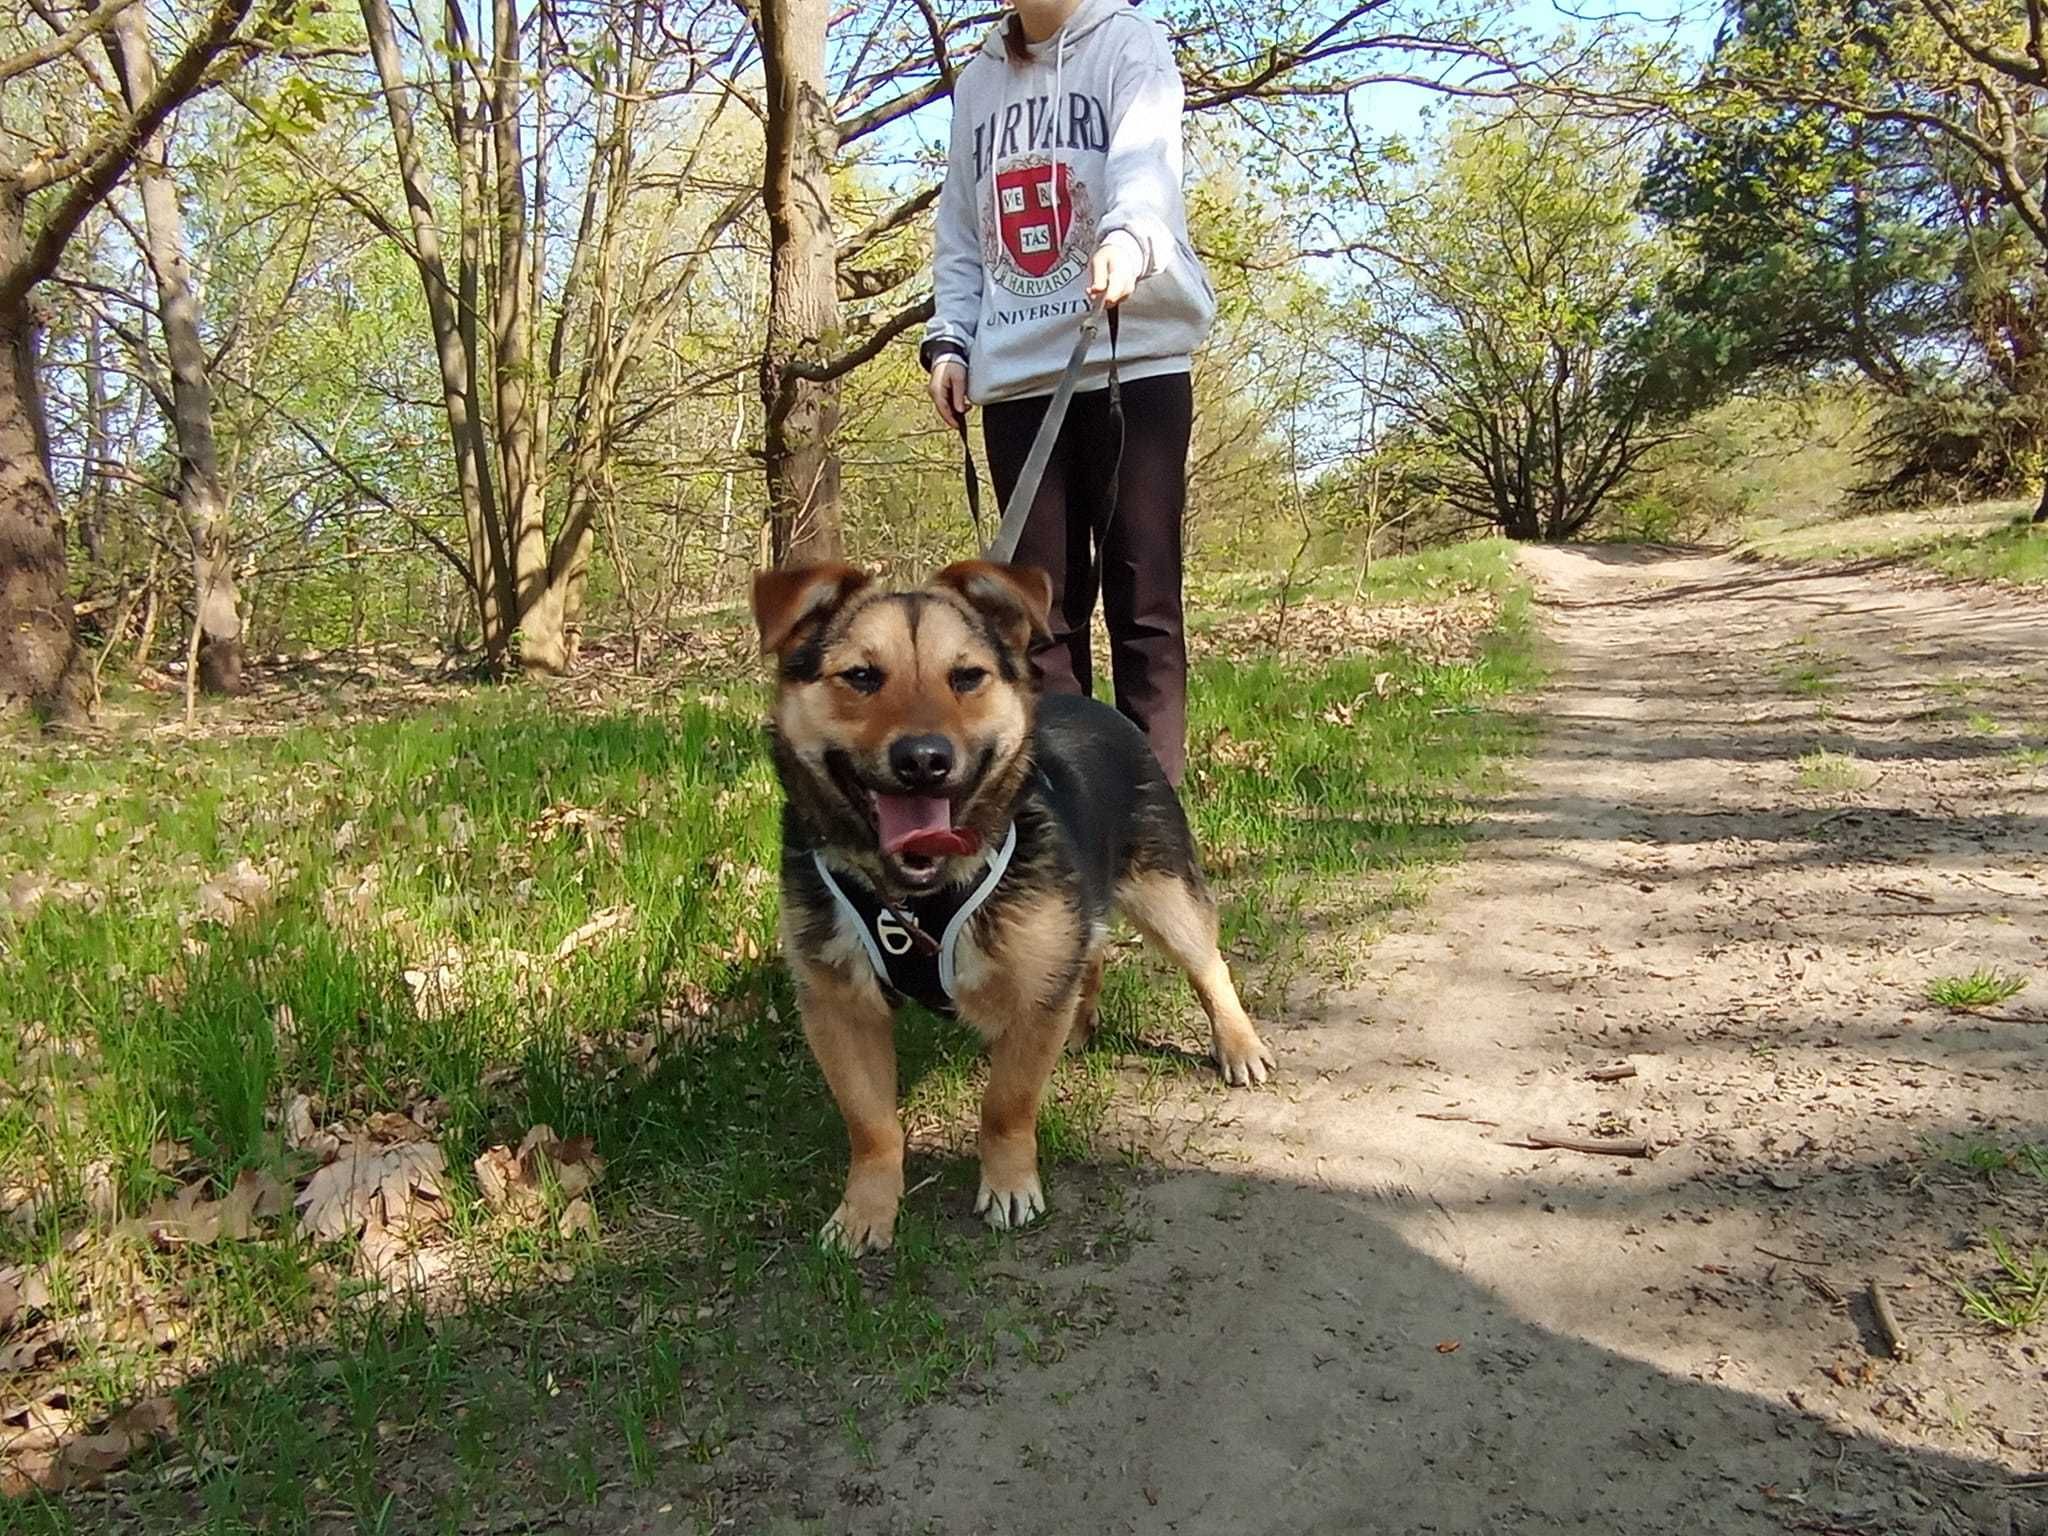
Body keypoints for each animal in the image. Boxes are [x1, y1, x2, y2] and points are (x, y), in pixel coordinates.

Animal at [753, 561, 1261, 1253]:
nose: (924, 760)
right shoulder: (839, 1006)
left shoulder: (1033, 987)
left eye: (967, 676)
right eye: (860, 677)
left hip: (1163, 888)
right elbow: (871, 1123)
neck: (915, 895)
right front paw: (866, 1209)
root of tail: (1098, 706)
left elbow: (1006, 1102)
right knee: (1090, 953)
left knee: (1206, 964)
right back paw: (1079, 1023)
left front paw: (1009, 1184)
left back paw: (1238, 1044)